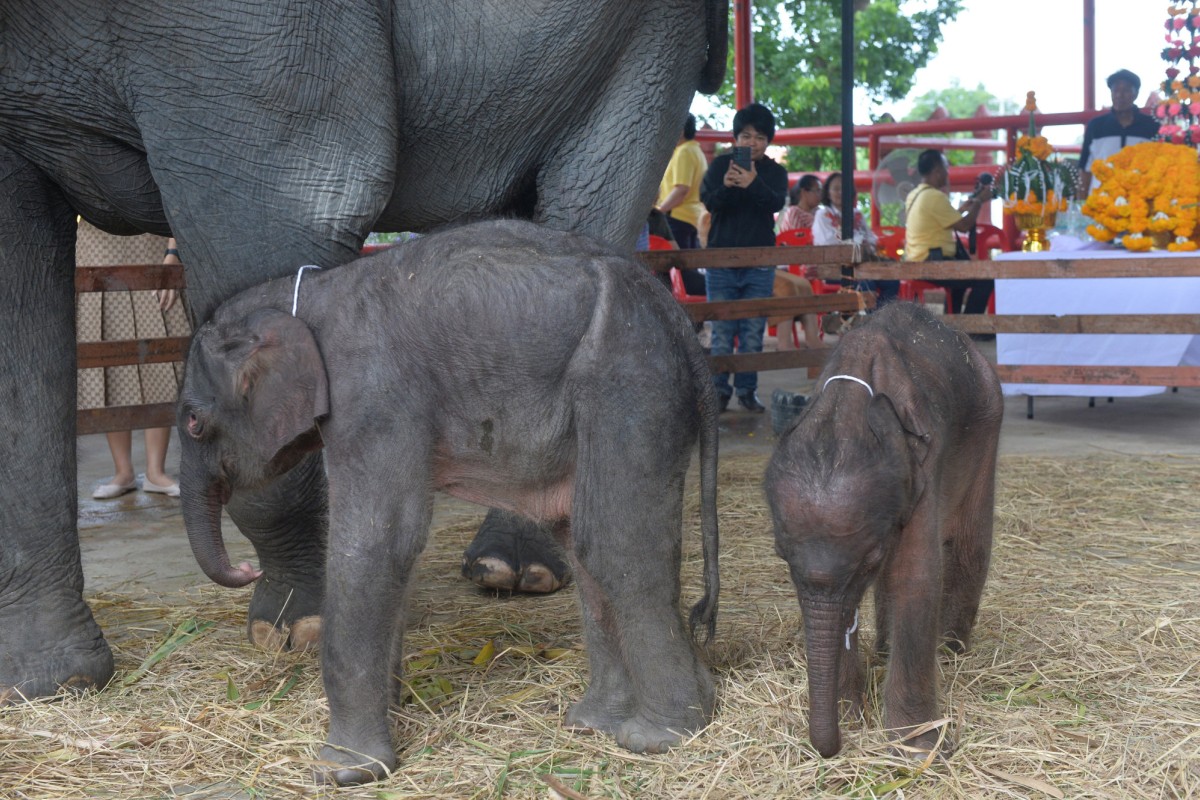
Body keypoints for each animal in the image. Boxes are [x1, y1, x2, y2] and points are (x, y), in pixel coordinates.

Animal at [0, 0, 727, 703]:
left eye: (199, 423)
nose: (240, 573)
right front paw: (49, 682)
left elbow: (276, 216)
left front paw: (296, 630)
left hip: (650, 41)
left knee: (590, 196)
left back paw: (514, 572)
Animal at [176, 220, 720, 784]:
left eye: (193, 421)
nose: (246, 569)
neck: (306, 293)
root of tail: (680, 323)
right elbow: (400, 552)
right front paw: (392, 710)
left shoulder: (374, 399)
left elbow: (376, 543)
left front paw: (342, 772)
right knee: (580, 541)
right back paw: (595, 723)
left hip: (630, 384)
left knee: (613, 545)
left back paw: (659, 736)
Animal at [763, 303, 1003, 758]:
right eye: (781, 556)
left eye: (869, 559)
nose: (832, 745)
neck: (851, 403)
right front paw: (852, 716)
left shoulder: (925, 466)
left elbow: (916, 577)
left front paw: (919, 749)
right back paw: (885, 651)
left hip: (988, 429)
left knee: (969, 543)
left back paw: (951, 653)